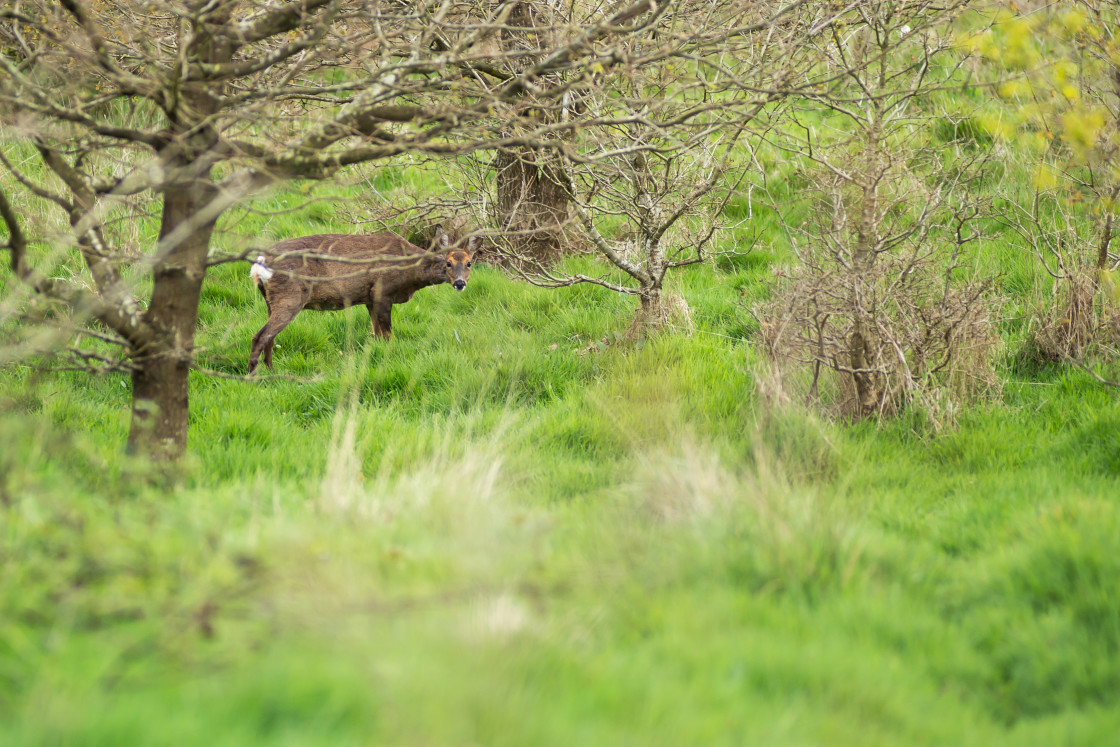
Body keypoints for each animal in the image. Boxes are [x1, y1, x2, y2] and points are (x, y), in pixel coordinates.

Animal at [249, 225, 477, 371]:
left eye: (469, 263)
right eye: (448, 263)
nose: (459, 283)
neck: (410, 271)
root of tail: (260, 263)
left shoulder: (369, 299)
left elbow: (377, 336)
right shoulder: (382, 292)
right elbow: (388, 337)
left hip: (271, 300)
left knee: (269, 337)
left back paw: (270, 371)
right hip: (291, 297)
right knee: (260, 336)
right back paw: (254, 376)